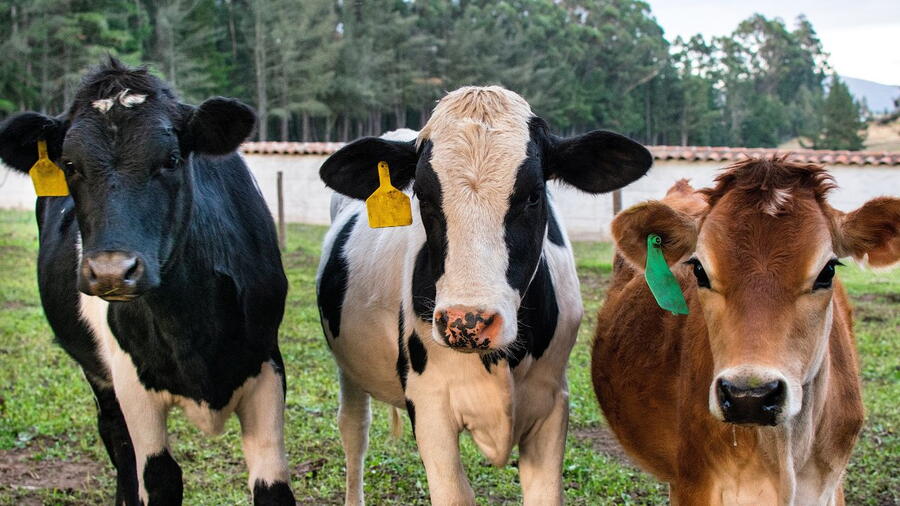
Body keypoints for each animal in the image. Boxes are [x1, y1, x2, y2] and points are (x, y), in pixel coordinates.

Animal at [0, 59, 295, 505]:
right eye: (70, 165)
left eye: (171, 159)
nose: (110, 271)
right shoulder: (130, 381)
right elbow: (158, 477)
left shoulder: (265, 366)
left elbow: (273, 485)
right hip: (99, 375)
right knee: (117, 441)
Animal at [316, 86, 653, 505]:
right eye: (423, 196)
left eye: (534, 195)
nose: (467, 322)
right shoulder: (429, 406)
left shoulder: (552, 403)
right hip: (348, 365)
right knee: (353, 429)